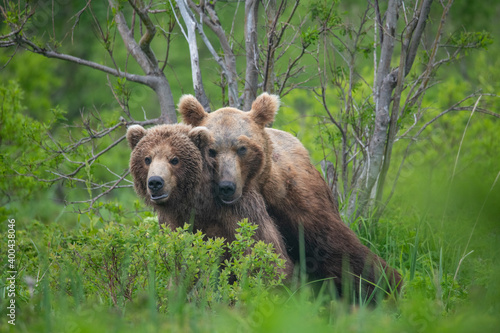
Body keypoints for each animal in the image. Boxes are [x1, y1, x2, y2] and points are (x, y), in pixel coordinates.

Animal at [127, 123, 294, 276]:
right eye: (147, 159)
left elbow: (263, 255)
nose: (155, 182)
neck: (199, 205)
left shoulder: (240, 215)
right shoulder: (172, 223)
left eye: (174, 159)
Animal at [180, 92, 402, 300]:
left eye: (242, 148)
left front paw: (385, 284)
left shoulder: (298, 201)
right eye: (212, 150)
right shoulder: (222, 216)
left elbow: (339, 249)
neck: (263, 188)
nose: (227, 186)